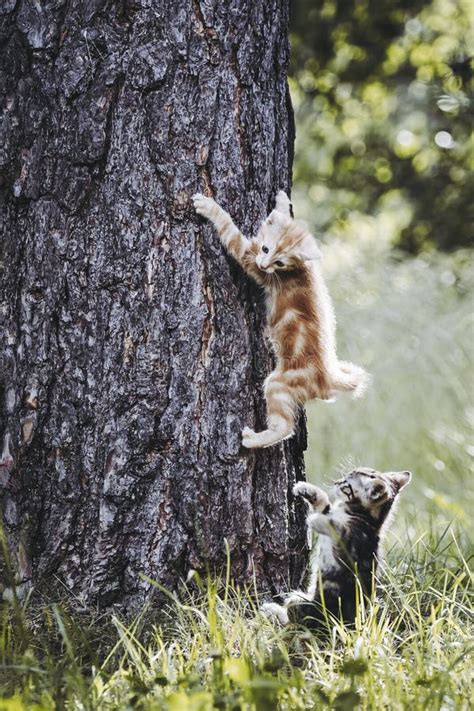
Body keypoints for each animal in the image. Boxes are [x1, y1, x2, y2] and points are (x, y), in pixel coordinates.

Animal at [193, 192, 370, 448]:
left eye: (280, 263)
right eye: (266, 249)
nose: (265, 265)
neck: (303, 268)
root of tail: (328, 377)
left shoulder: (248, 257)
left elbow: (229, 229)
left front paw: (209, 206)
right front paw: (282, 202)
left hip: (279, 384)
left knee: (285, 428)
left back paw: (252, 439)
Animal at [262, 468, 410, 628]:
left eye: (347, 485)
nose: (336, 482)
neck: (366, 518)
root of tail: (349, 624)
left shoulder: (351, 547)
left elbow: (338, 528)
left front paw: (316, 520)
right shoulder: (331, 512)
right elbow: (325, 504)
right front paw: (305, 489)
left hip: (307, 606)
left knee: (294, 620)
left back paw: (273, 610)